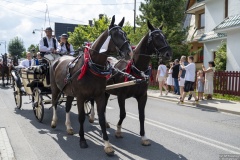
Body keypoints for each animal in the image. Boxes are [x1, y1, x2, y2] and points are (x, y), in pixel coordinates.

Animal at [50, 15, 132, 156]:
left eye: (125, 34)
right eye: (115, 35)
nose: (129, 52)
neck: (91, 67)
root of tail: (58, 60)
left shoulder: (99, 95)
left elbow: (101, 118)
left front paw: (107, 144)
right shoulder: (81, 96)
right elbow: (82, 117)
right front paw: (82, 140)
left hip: (69, 92)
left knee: (67, 107)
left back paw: (69, 127)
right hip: (55, 88)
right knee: (55, 103)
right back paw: (54, 121)